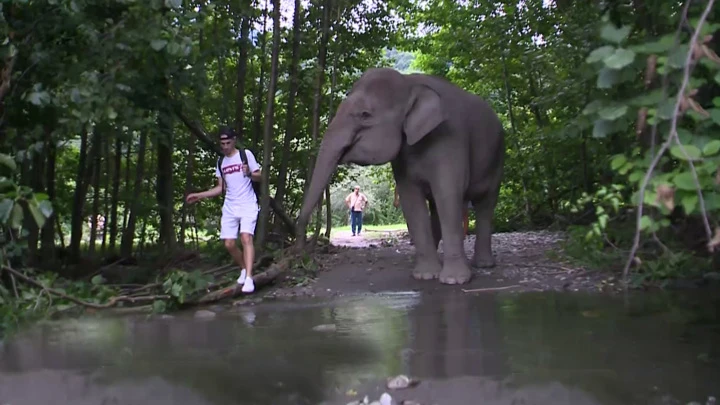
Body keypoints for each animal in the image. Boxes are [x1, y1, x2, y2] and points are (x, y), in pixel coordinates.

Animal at [296, 67, 504, 284]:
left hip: (498, 157)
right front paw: (425, 275)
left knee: (485, 204)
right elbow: (411, 199)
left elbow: (448, 194)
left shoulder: (451, 138)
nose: (303, 249)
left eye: (365, 114)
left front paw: (454, 280)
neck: (409, 83)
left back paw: (483, 264)